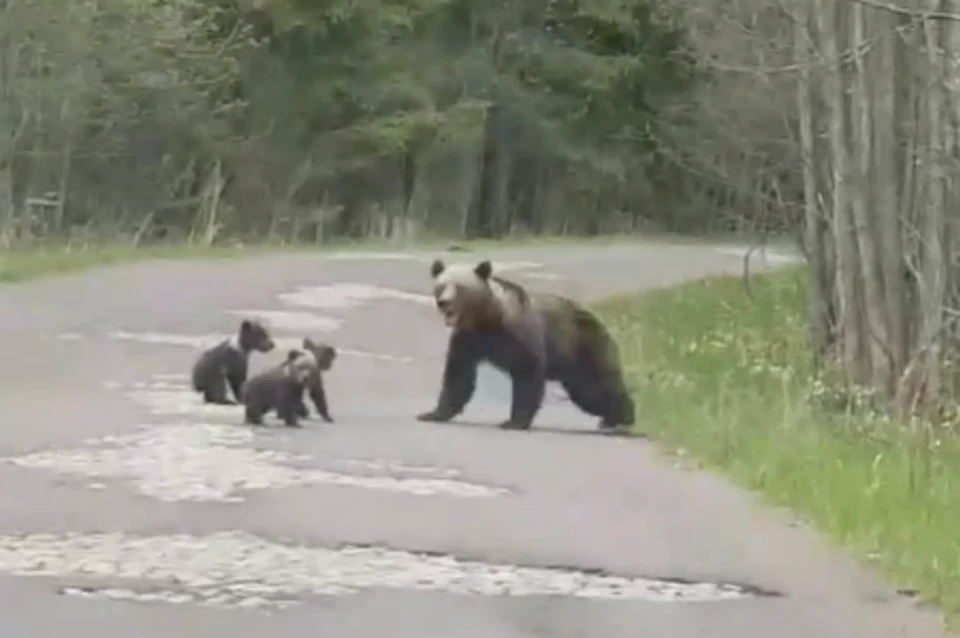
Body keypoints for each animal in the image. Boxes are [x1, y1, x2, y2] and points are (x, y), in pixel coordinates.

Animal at [414, 260, 632, 436]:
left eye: (460, 287)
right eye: (441, 286)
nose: (444, 303)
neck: (487, 317)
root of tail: (600, 320)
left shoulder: (518, 333)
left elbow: (527, 373)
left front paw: (513, 422)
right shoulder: (468, 339)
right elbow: (459, 374)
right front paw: (432, 413)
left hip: (584, 346)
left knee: (597, 387)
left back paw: (622, 419)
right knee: (587, 395)